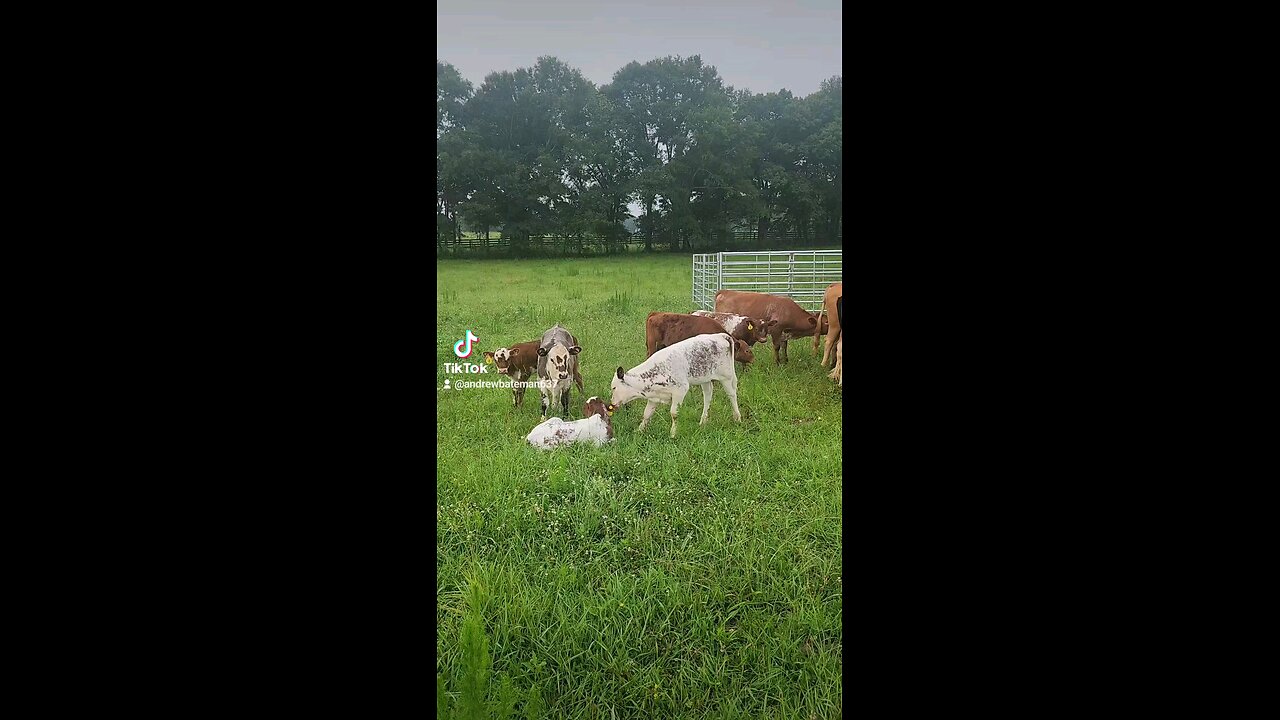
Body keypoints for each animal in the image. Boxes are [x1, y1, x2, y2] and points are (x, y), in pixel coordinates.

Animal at [609, 330, 742, 438]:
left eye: (614, 387)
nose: (612, 404)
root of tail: (721, 335)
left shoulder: (680, 390)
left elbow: (674, 413)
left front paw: (673, 433)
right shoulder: (654, 396)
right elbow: (646, 414)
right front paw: (639, 430)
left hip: (726, 376)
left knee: (731, 394)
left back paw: (737, 418)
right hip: (704, 378)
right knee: (708, 395)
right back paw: (703, 421)